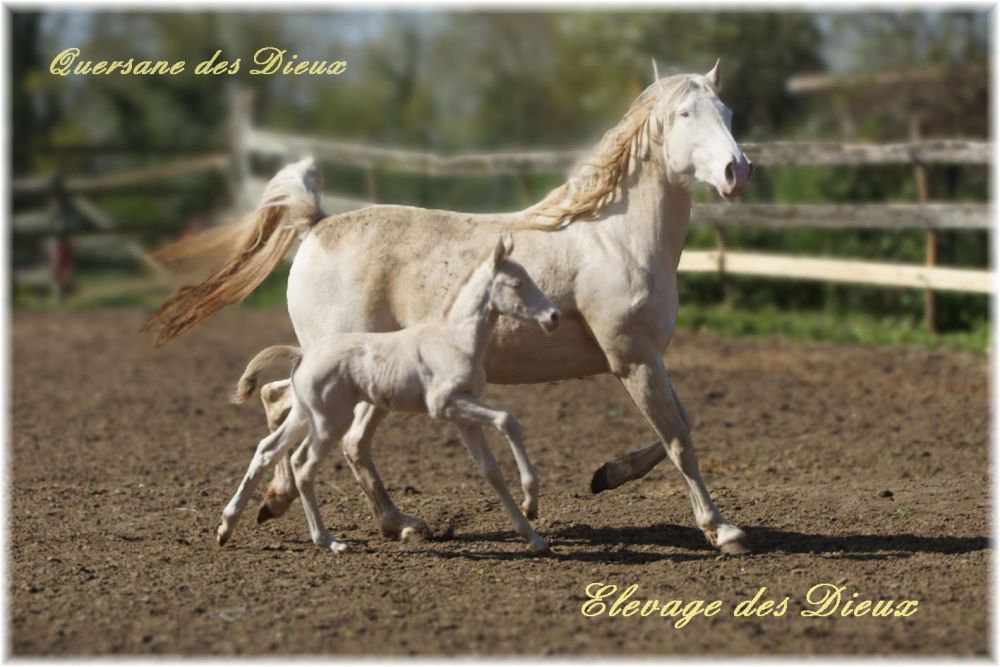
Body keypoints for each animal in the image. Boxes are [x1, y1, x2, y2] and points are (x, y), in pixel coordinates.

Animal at [218, 234, 559, 553]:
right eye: (516, 283)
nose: (553, 317)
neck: (454, 339)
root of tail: (304, 354)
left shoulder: (463, 416)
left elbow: (491, 471)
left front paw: (533, 536)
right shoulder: (445, 405)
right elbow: (507, 420)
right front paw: (531, 501)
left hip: (305, 416)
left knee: (267, 450)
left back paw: (226, 527)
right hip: (330, 421)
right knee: (303, 465)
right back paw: (328, 541)